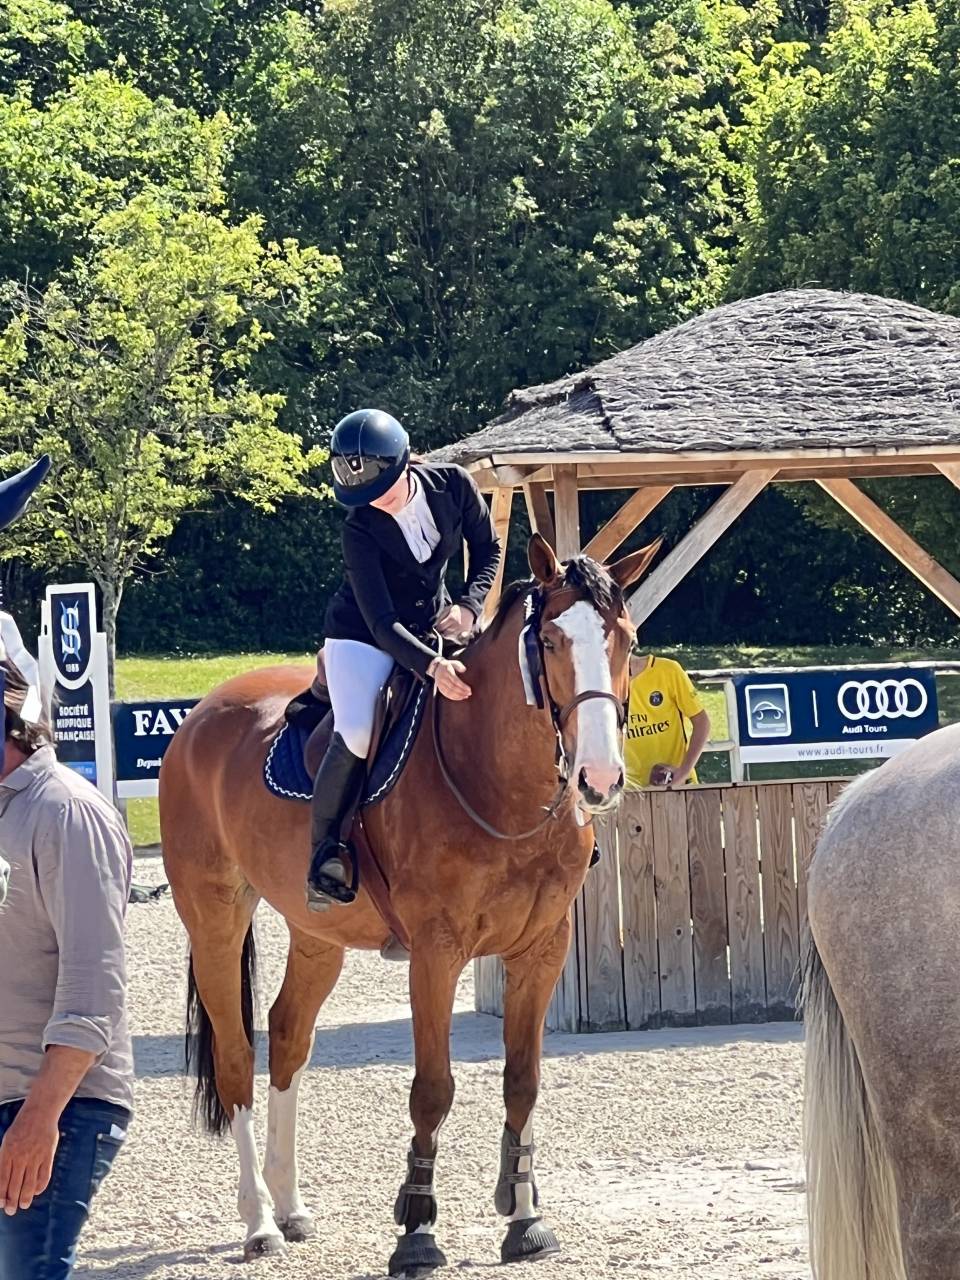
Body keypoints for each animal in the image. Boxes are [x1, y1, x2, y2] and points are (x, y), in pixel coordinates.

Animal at [159, 533, 658, 1275]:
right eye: (550, 643)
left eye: (626, 639)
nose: (599, 779)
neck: (498, 784)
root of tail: (201, 714)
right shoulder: (436, 954)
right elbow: (432, 1090)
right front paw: (418, 1231)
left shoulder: (542, 949)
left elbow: (523, 1081)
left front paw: (525, 1218)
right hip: (215, 916)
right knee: (237, 1056)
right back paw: (259, 1221)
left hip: (318, 934)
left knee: (287, 1036)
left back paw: (291, 1205)